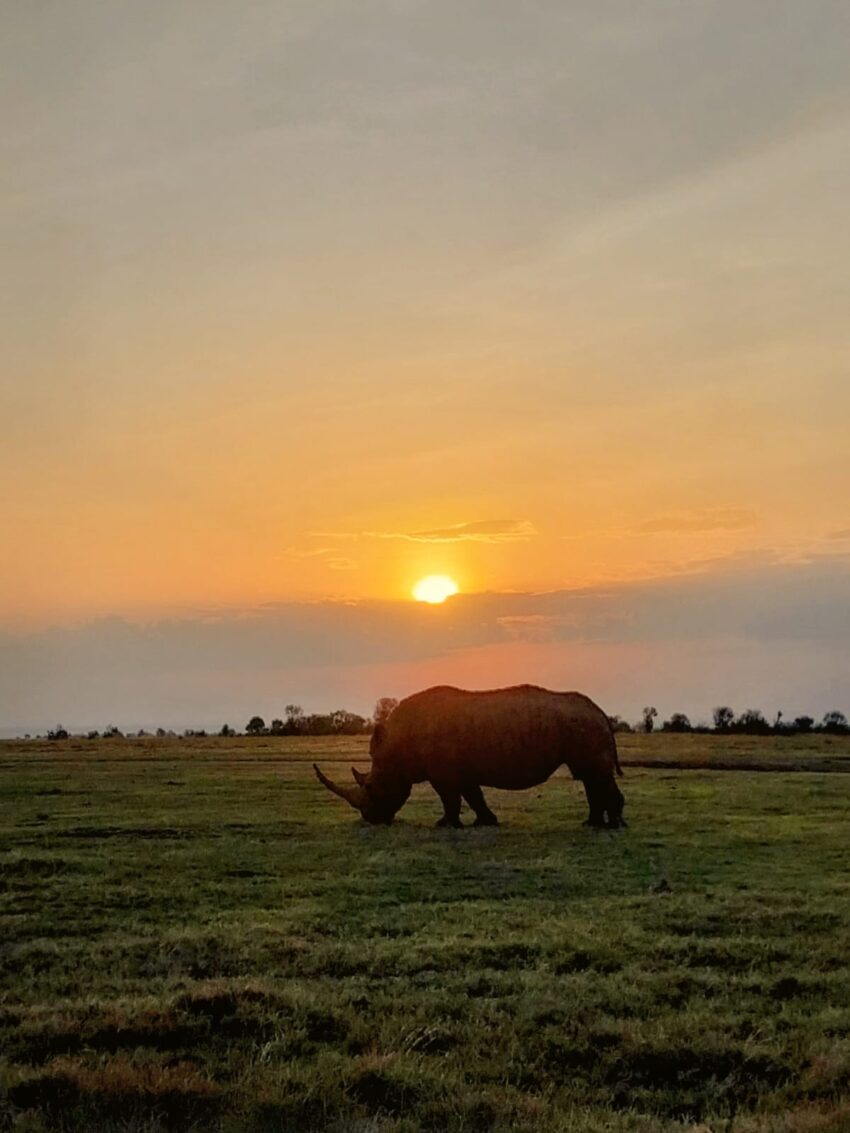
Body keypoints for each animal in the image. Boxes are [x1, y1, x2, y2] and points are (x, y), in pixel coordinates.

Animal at [314, 684, 625, 828]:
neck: (395, 747)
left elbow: (451, 798)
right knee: (589, 777)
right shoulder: (461, 770)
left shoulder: (443, 773)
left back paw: (612, 827)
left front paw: (445, 825)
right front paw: (486, 822)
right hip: (582, 725)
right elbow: (474, 796)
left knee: (593, 775)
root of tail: (601, 713)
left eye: (371, 787)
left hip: (584, 725)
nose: (370, 819)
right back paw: (593, 825)